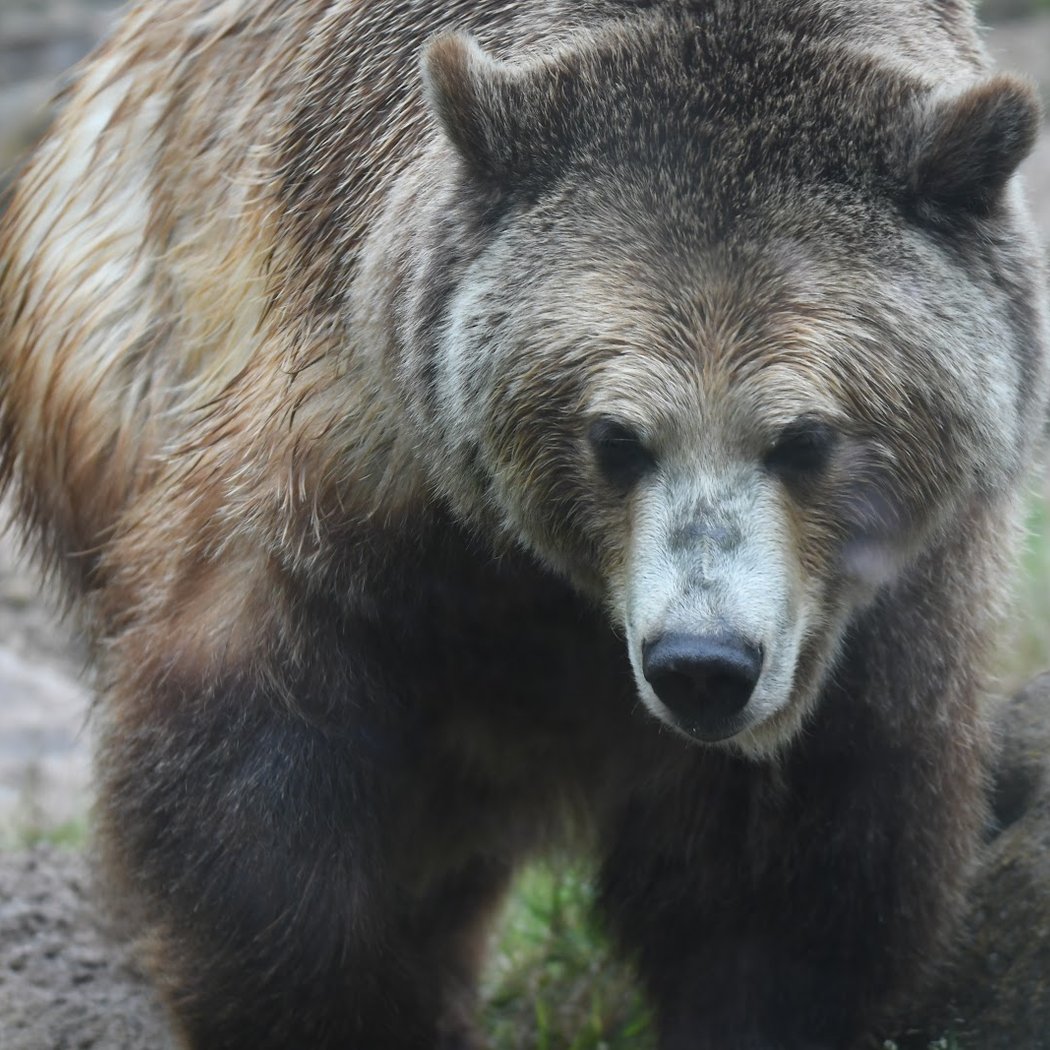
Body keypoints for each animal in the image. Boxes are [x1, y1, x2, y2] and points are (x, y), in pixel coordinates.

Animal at [0, 0, 1047, 1047]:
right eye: (615, 436)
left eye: (805, 438)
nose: (700, 664)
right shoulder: (353, 464)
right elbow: (260, 785)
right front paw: (337, 1005)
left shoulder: (872, 613)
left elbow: (794, 873)